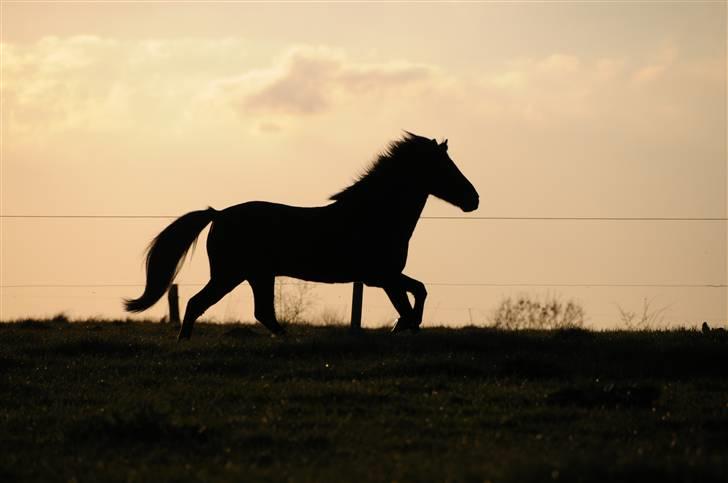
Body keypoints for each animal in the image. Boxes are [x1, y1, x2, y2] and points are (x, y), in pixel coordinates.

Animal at [124, 130, 478, 338]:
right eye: (445, 167)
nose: (473, 199)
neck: (373, 215)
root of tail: (219, 213)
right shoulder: (381, 276)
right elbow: (413, 297)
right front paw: (403, 326)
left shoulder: (385, 276)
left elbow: (418, 292)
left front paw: (404, 326)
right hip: (230, 274)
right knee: (199, 304)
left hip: (257, 275)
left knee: (262, 312)